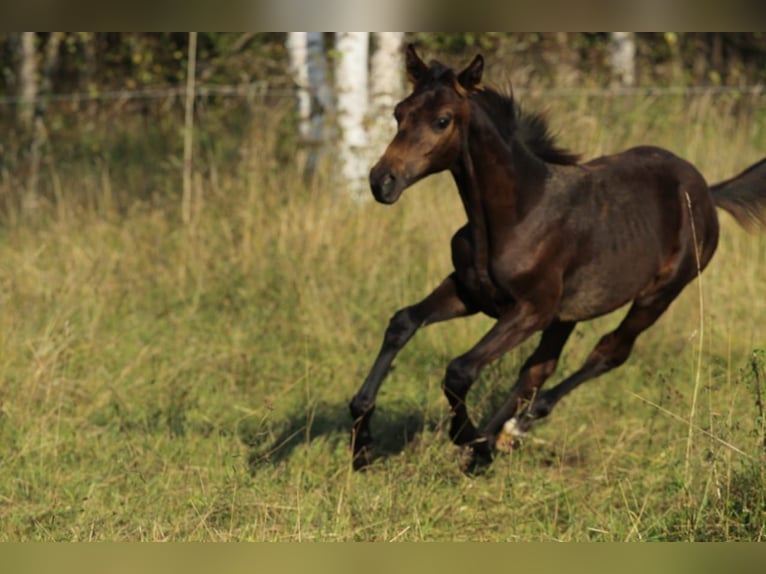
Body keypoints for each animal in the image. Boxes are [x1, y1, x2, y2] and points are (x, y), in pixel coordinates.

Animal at [352, 44, 766, 468]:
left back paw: (508, 431)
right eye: (399, 112)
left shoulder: (531, 309)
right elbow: (403, 322)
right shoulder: (469, 293)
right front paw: (362, 440)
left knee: (609, 352)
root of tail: (707, 191)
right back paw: (498, 438)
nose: (382, 181)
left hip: (658, 294)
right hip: (569, 312)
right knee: (540, 367)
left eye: (441, 120)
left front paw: (466, 435)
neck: (516, 215)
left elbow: (460, 369)